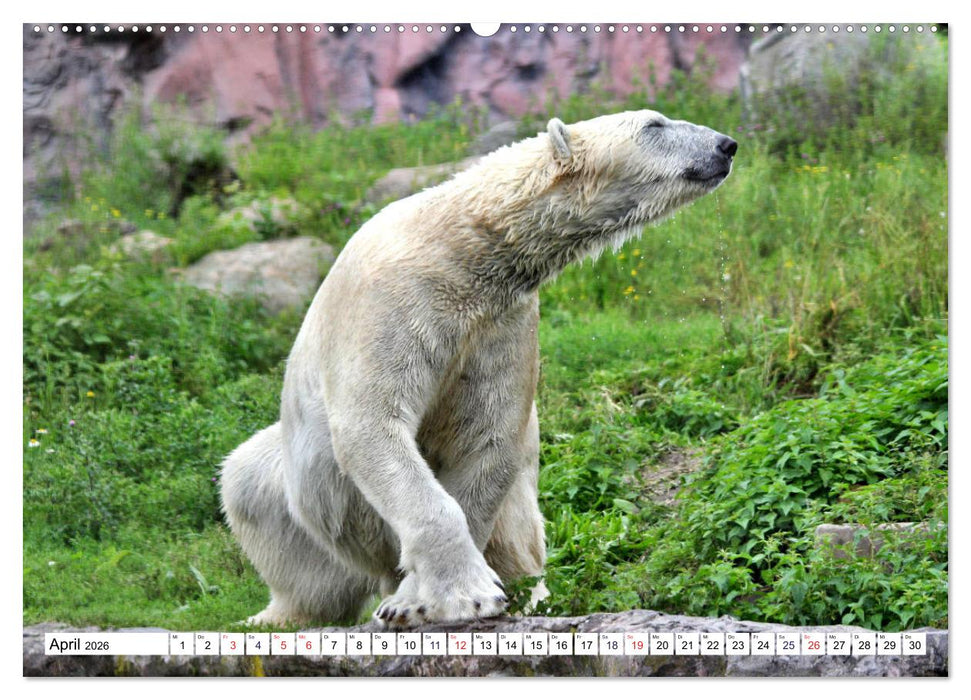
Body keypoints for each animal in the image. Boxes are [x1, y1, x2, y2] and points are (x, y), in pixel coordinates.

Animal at [220, 110, 736, 629]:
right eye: (655, 125)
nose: (726, 145)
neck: (467, 241)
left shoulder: (501, 323)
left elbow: (487, 437)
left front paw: (417, 600)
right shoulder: (393, 300)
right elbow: (372, 421)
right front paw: (465, 596)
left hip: (518, 522)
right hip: (301, 490)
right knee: (254, 486)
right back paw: (276, 616)